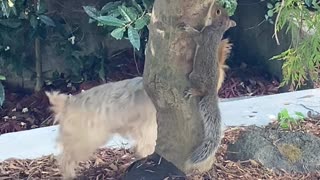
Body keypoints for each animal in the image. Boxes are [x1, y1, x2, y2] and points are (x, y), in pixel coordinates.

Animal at [46, 38, 231, 179]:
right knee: (65, 158)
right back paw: (69, 174)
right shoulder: (148, 130)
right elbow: (146, 148)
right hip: (85, 139)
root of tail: (67, 103)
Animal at [180, 2, 238, 172]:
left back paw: (193, 91)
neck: (217, 30)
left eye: (217, 11)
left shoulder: (204, 36)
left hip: (194, 76)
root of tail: (212, 92)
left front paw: (188, 28)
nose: (216, 3)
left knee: (199, 89)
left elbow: (197, 36)